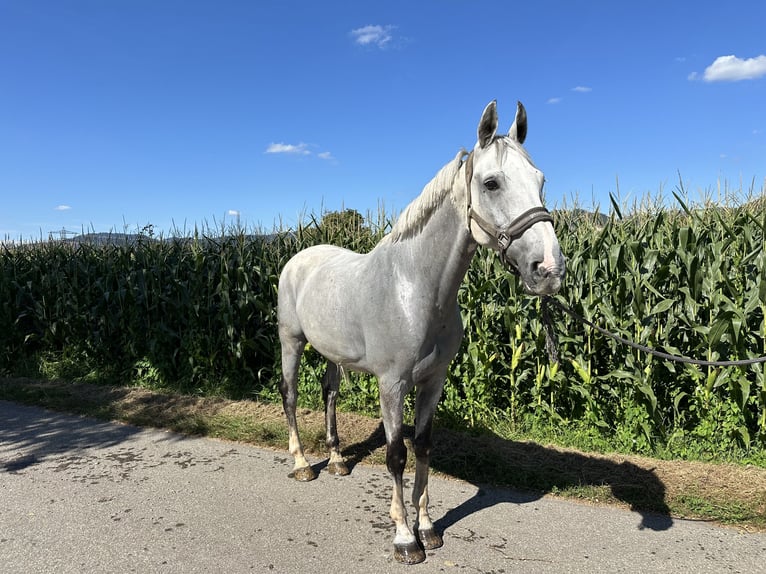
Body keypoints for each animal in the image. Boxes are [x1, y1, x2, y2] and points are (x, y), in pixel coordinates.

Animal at [280, 100, 568, 568]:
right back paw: (303, 464)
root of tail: (300, 258)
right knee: (289, 395)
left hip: (333, 355)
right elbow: (397, 454)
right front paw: (404, 538)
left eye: (541, 180)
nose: (549, 270)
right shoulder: (392, 384)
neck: (414, 287)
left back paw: (338, 460)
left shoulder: (434, 381)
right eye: (491, 183)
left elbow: (424, 446)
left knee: (329, 394)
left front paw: (429, 528)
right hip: (292, 342)